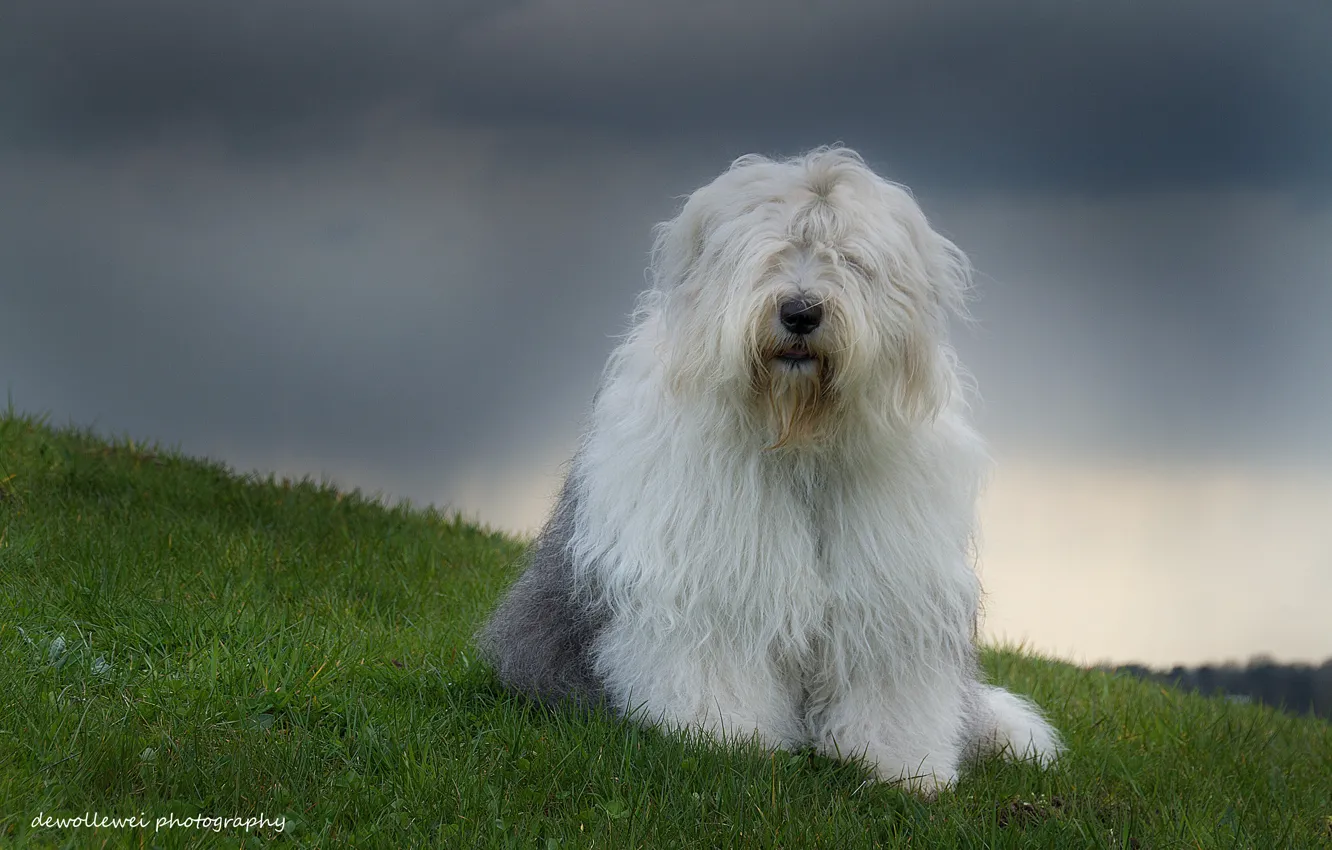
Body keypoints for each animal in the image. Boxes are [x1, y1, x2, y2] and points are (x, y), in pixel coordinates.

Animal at [479, 147, 1060, 799]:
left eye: (850, 259)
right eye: (769, 250)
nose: (801, 312)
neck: (797, 436)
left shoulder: (888, 590)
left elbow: (888, 680)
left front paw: (905, 769)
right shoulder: (714, 578)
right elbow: (719, 657)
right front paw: (724, 741)